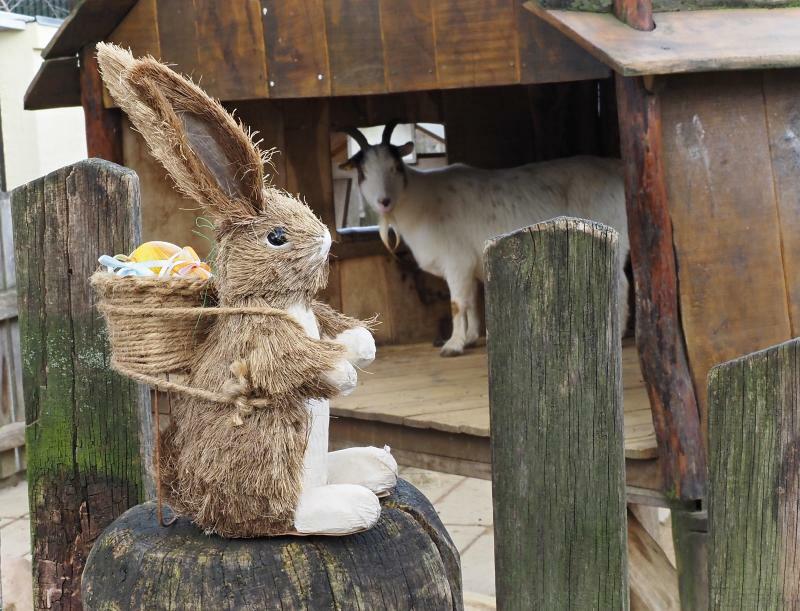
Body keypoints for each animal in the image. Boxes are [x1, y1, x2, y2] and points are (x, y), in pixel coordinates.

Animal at [340, 122, 628, 356]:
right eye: (363, 172)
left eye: (395, 167)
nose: (384, 201)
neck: (419, 201)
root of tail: (618, 169)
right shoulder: (471, 264)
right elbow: (472, 302)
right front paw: (469, 338)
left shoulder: (456, 261)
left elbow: (457, 304)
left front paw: (452, 345)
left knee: (621, 283)